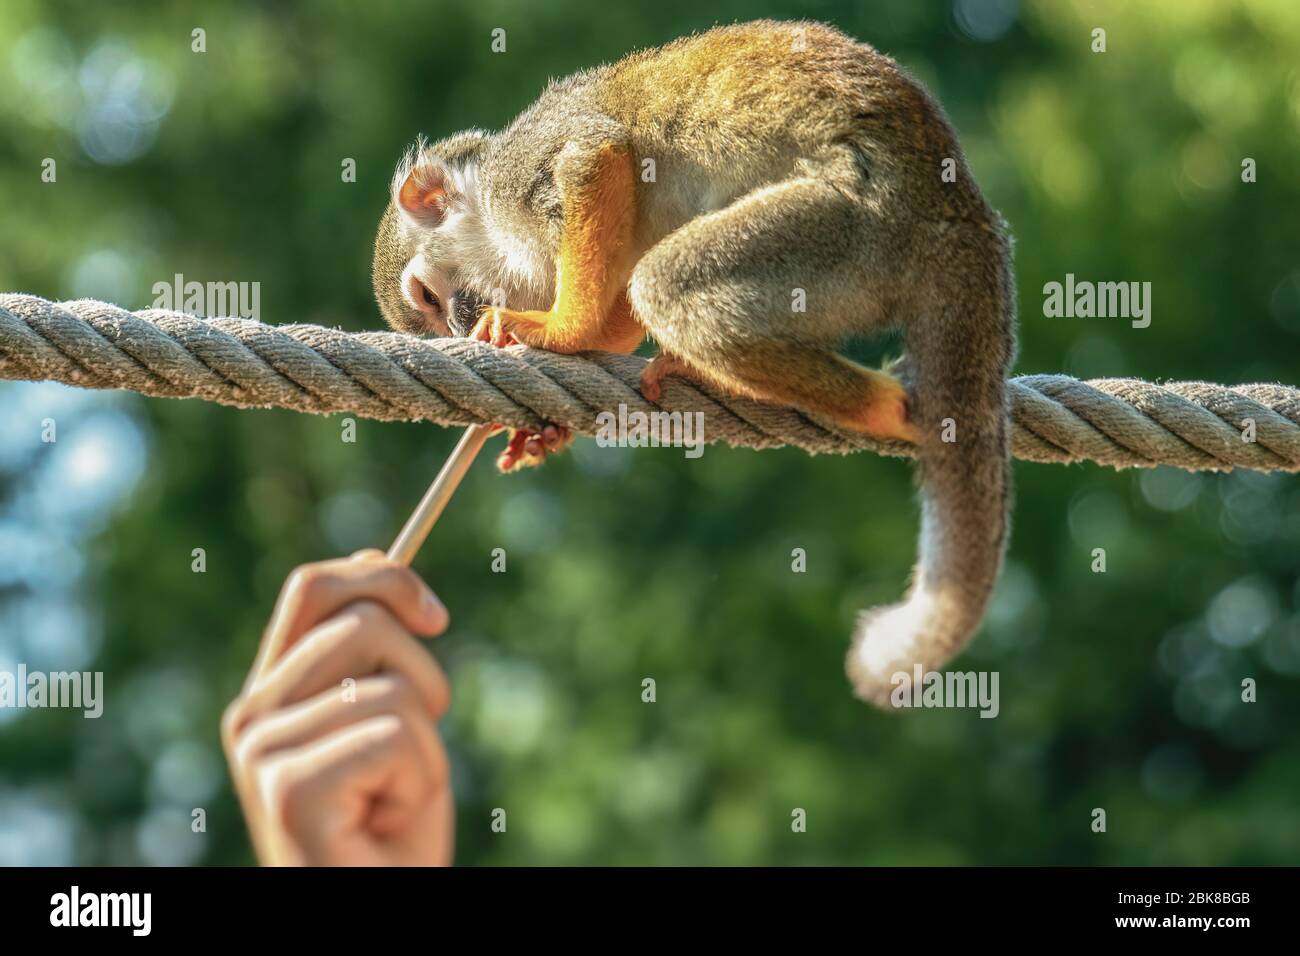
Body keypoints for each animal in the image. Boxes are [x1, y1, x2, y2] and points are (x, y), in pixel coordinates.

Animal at [371, 18, 1019, 707]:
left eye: (429, 299)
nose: (456, 325)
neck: (487, 214)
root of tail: (959, 212)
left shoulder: (516, 176)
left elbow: (595, 159)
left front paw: (563, 330)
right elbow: (622, 298)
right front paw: (547, 422)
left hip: (856, 227)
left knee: (669, 285)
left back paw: (883, 407)